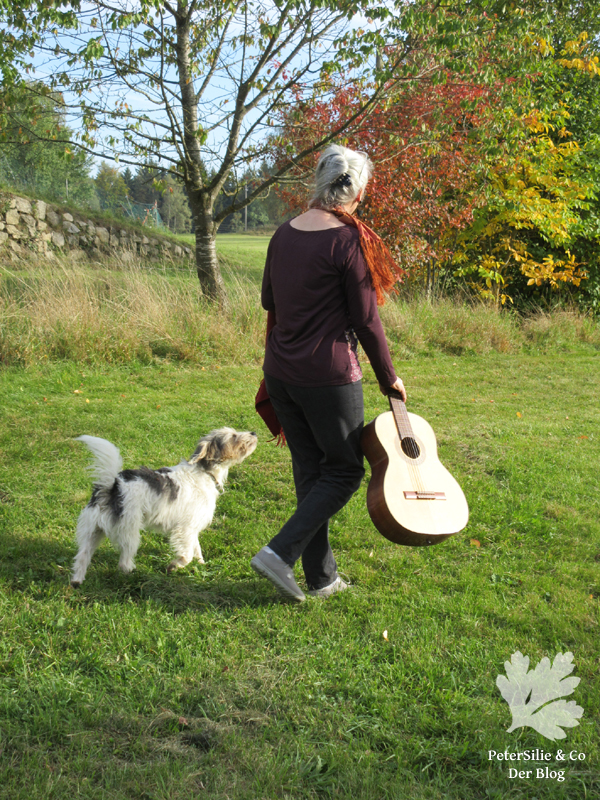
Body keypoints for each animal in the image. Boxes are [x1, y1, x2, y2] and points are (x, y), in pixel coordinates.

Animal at [71, 428, 258, 586]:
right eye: (233, 436)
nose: (254, 433)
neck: (205, 472)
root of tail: (112, 487)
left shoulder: (192, 527)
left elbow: (196, 548)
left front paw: (201, 564)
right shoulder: (184, 529)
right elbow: (187, 554)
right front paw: (174, 566)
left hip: (92, 531)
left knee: (82, 558)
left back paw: (76, 582)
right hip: (129, 532)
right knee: (123, 563)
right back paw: (134, 573)